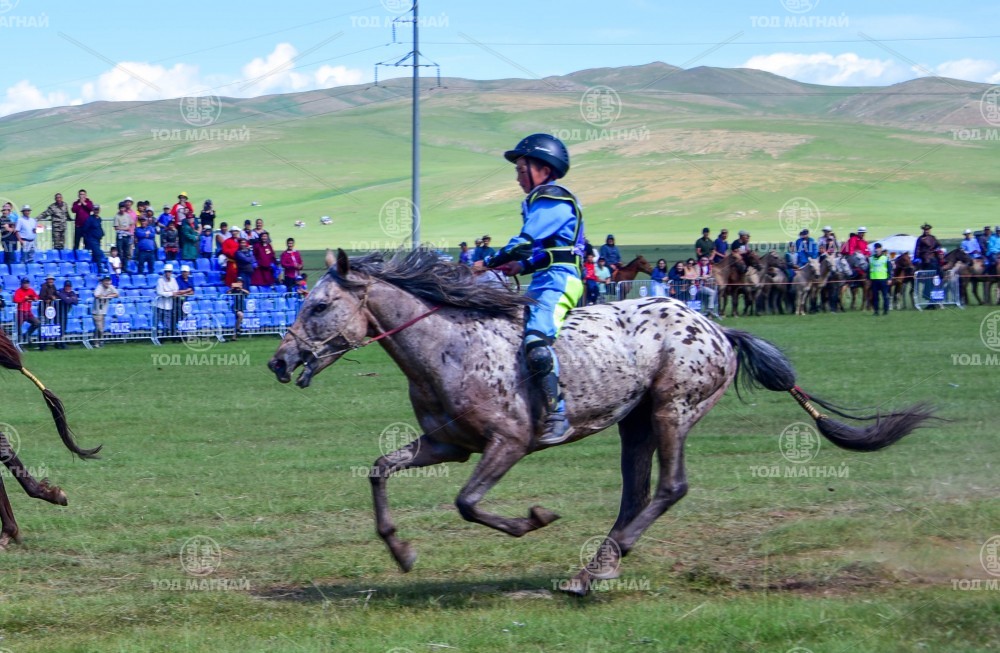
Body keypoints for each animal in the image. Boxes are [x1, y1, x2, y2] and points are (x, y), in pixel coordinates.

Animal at [268, 248, 935, 595]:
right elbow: (380, 469)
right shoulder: (446, 444)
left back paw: (595, 571)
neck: (449, 347)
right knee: (635, 492)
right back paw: (600, 563)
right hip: (633, 424)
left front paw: (533, 519)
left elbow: (468, 503)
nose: (279, 360)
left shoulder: (508, 444)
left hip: (672, 410)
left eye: (319, 305)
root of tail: (718, 327)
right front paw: (401, 551)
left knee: (671, 487)